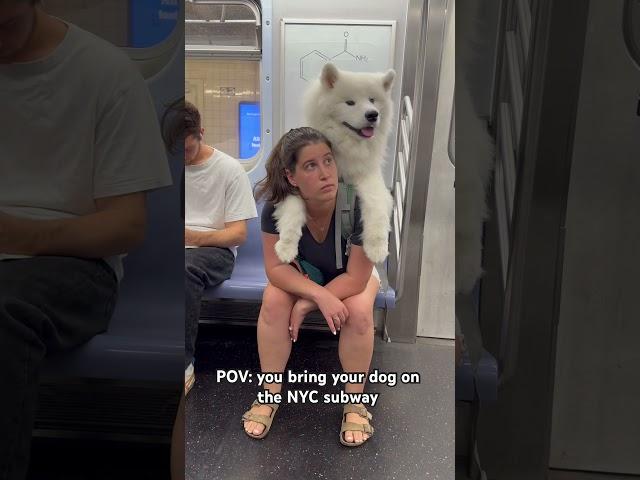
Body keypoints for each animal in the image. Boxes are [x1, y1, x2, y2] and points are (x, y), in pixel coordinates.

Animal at [274, 62, 398, 266]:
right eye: (350, 102)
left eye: (372, 100)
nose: (373, 114)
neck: (345, 147)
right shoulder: (290, 186)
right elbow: (292, 213)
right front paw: (286, 247)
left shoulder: (369, 176)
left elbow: (376, 205)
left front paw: (377, 248)